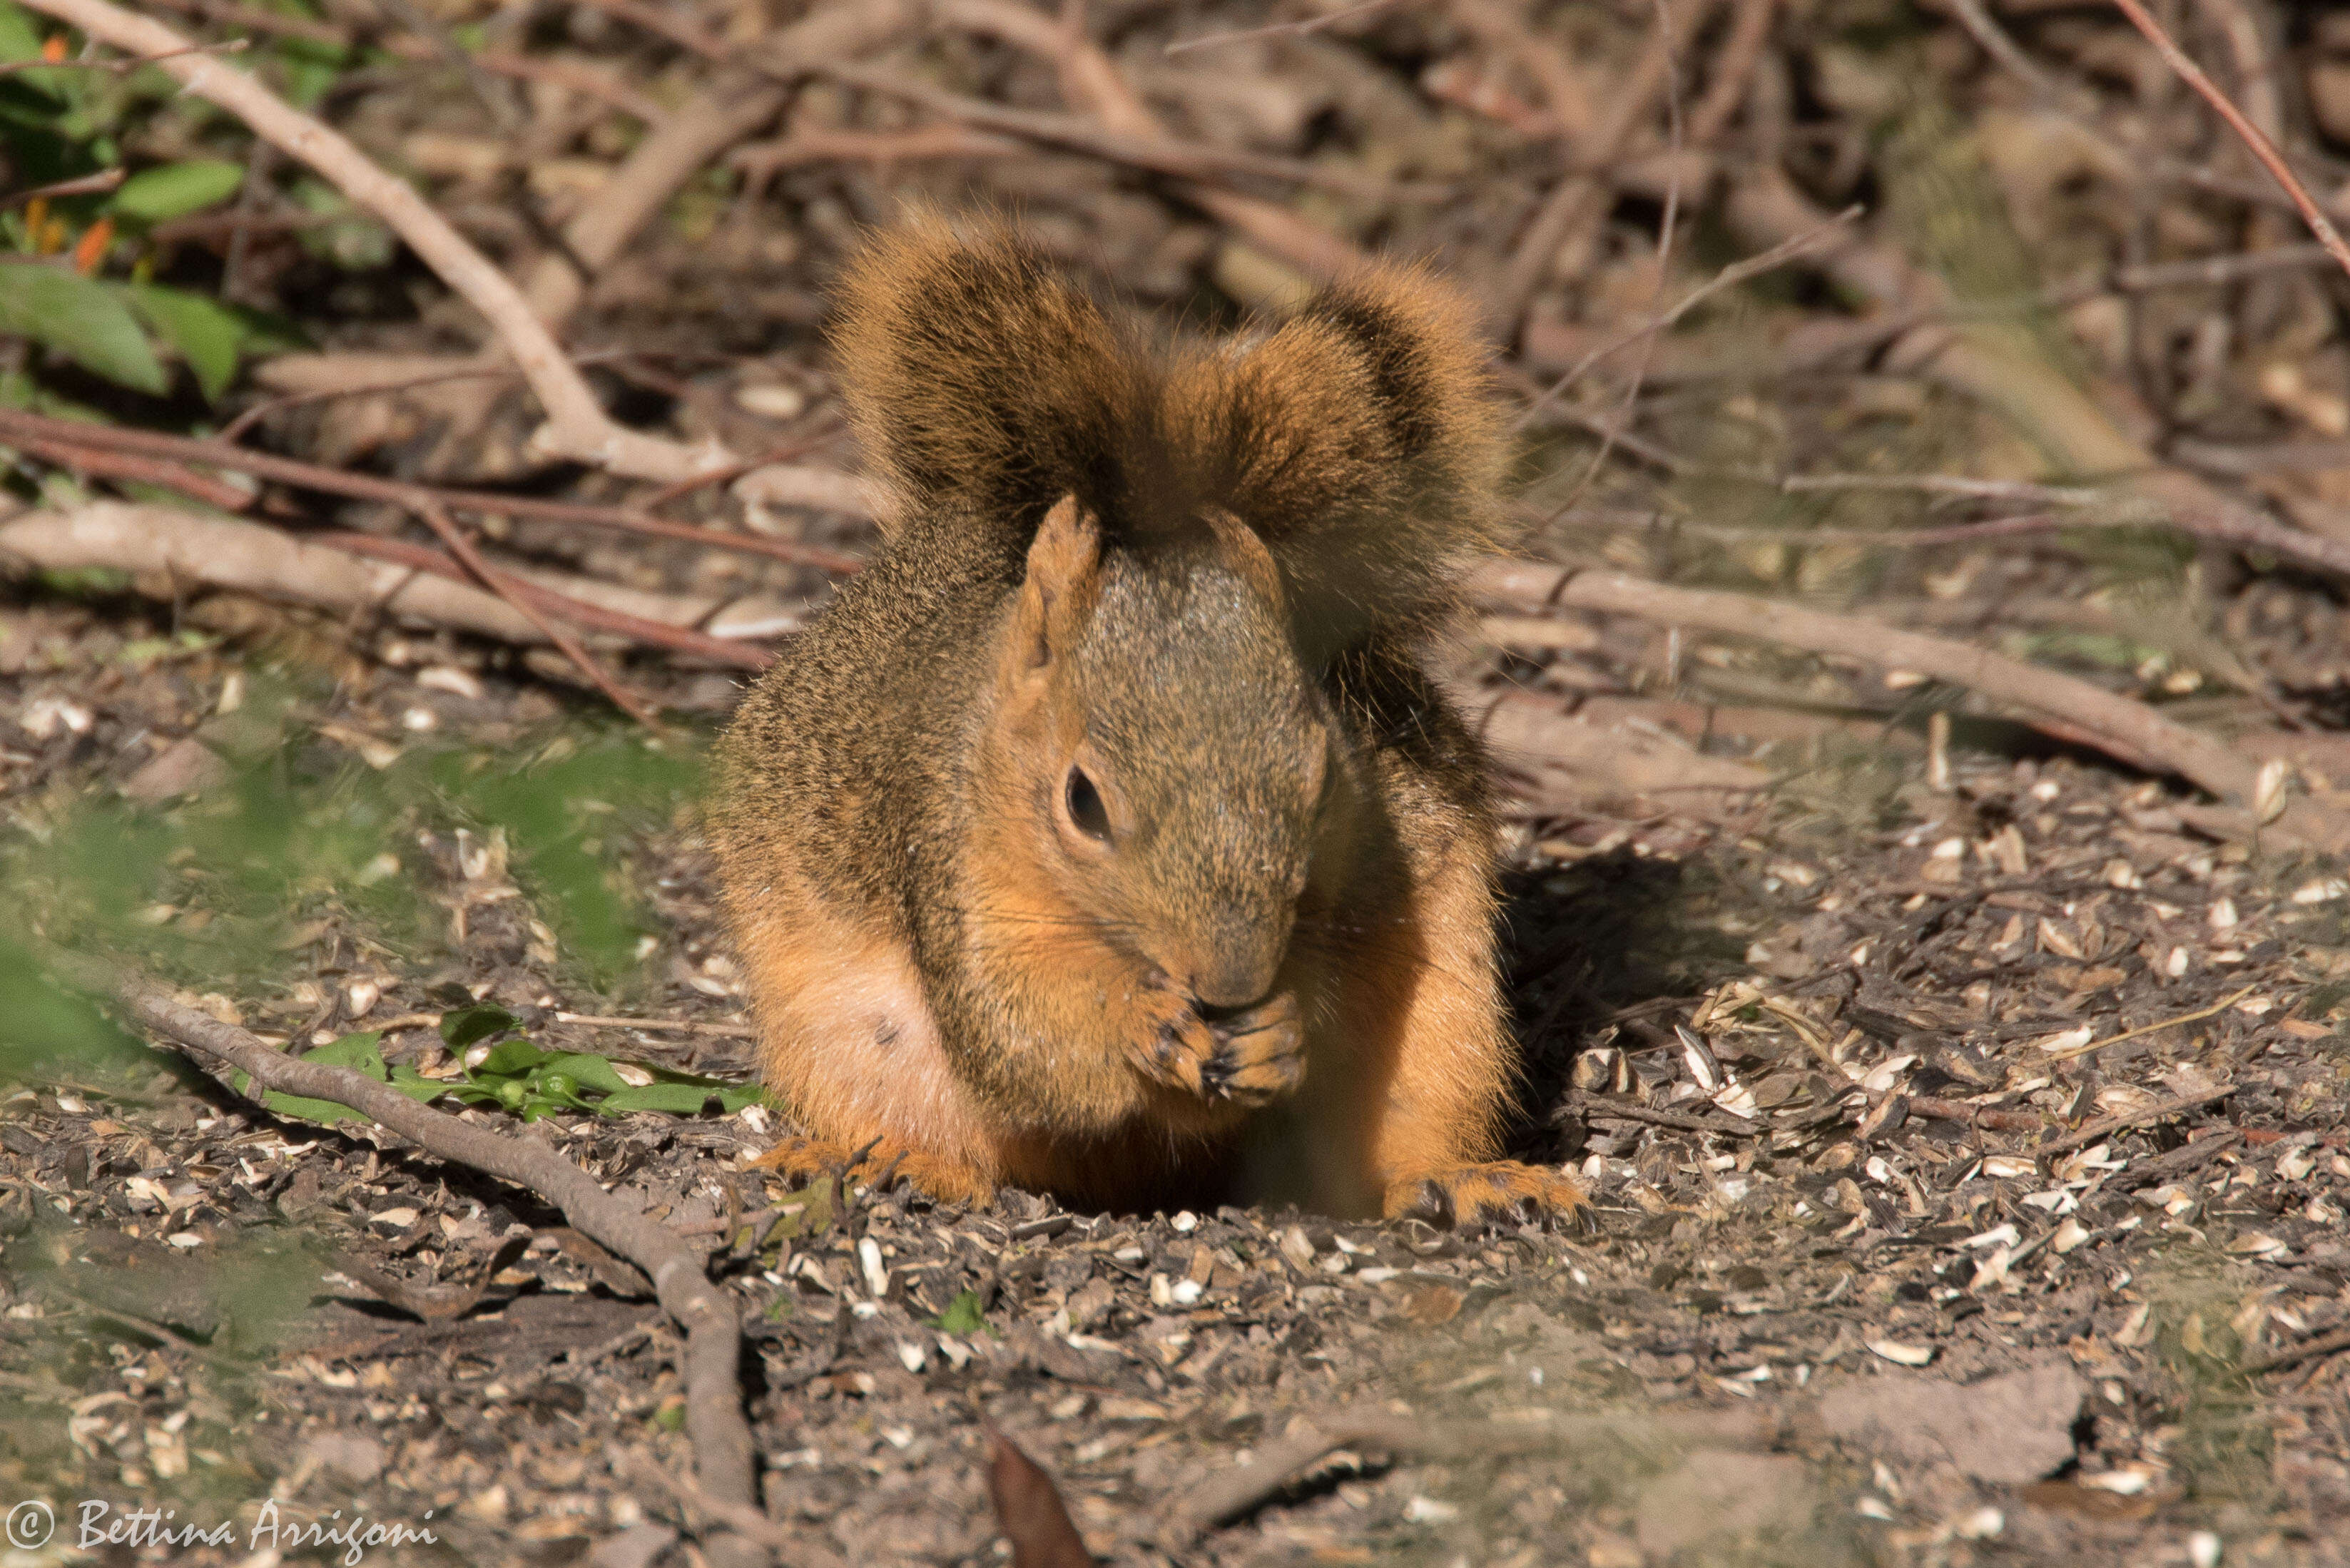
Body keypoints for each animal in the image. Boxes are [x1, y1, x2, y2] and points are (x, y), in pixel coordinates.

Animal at [705, 217, 1588, 1222]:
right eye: (1081, 803)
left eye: (1325, 780)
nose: (1232, 982)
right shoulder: (947, 856)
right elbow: (1022, 1033)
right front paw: (1138, 1023)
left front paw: (1280, 1026)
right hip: (838, 1030)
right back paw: (900, 1159)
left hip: (1450, 1011)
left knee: (1409, 1116)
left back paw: (1462, 1177)